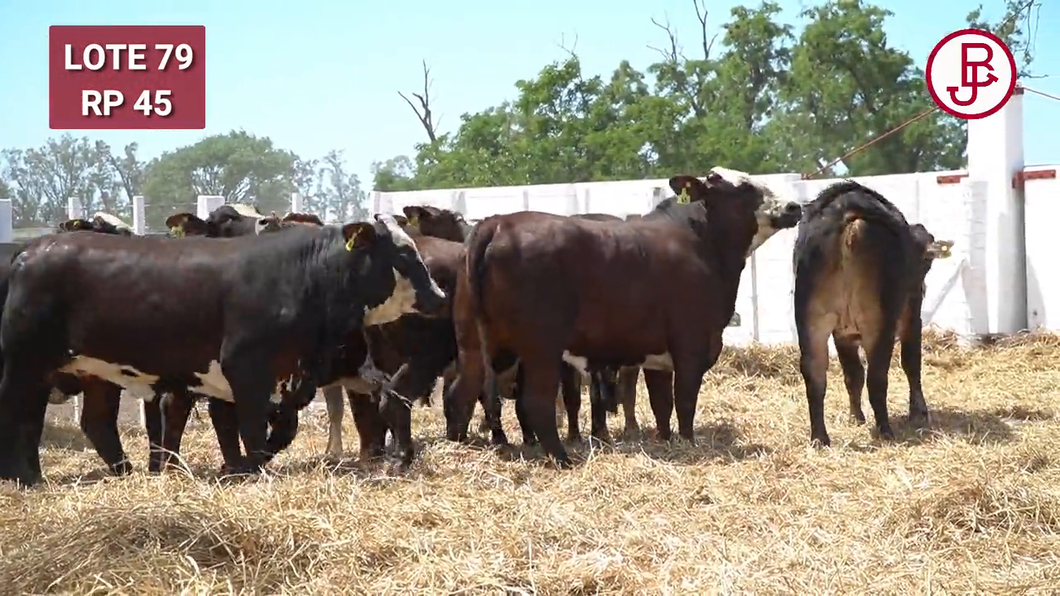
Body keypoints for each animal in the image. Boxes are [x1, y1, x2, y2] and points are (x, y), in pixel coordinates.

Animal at [0, 213, 445, 483]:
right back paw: (22, 479)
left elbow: (268, 430)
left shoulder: (284, 379)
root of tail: (29, 250)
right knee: (19, 416)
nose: (439, 296)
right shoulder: (245, 369)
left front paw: (242, 467)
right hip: (24, 364)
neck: (303, 275)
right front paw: (250, 469)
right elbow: (250, 428)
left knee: (86, 421)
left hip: (91, 373)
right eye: (403, 253)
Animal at [792, 181, 958, 445]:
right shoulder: (912, 314)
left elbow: (853, 375)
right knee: (878, 376)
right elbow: (911, 362)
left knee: (815, 372)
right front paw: (918, 412)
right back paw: (885, 430)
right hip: (879, 321)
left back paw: (820, 438)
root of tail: (850, 219)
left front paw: (856, 417)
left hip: (812, 320)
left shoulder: (842, 334)